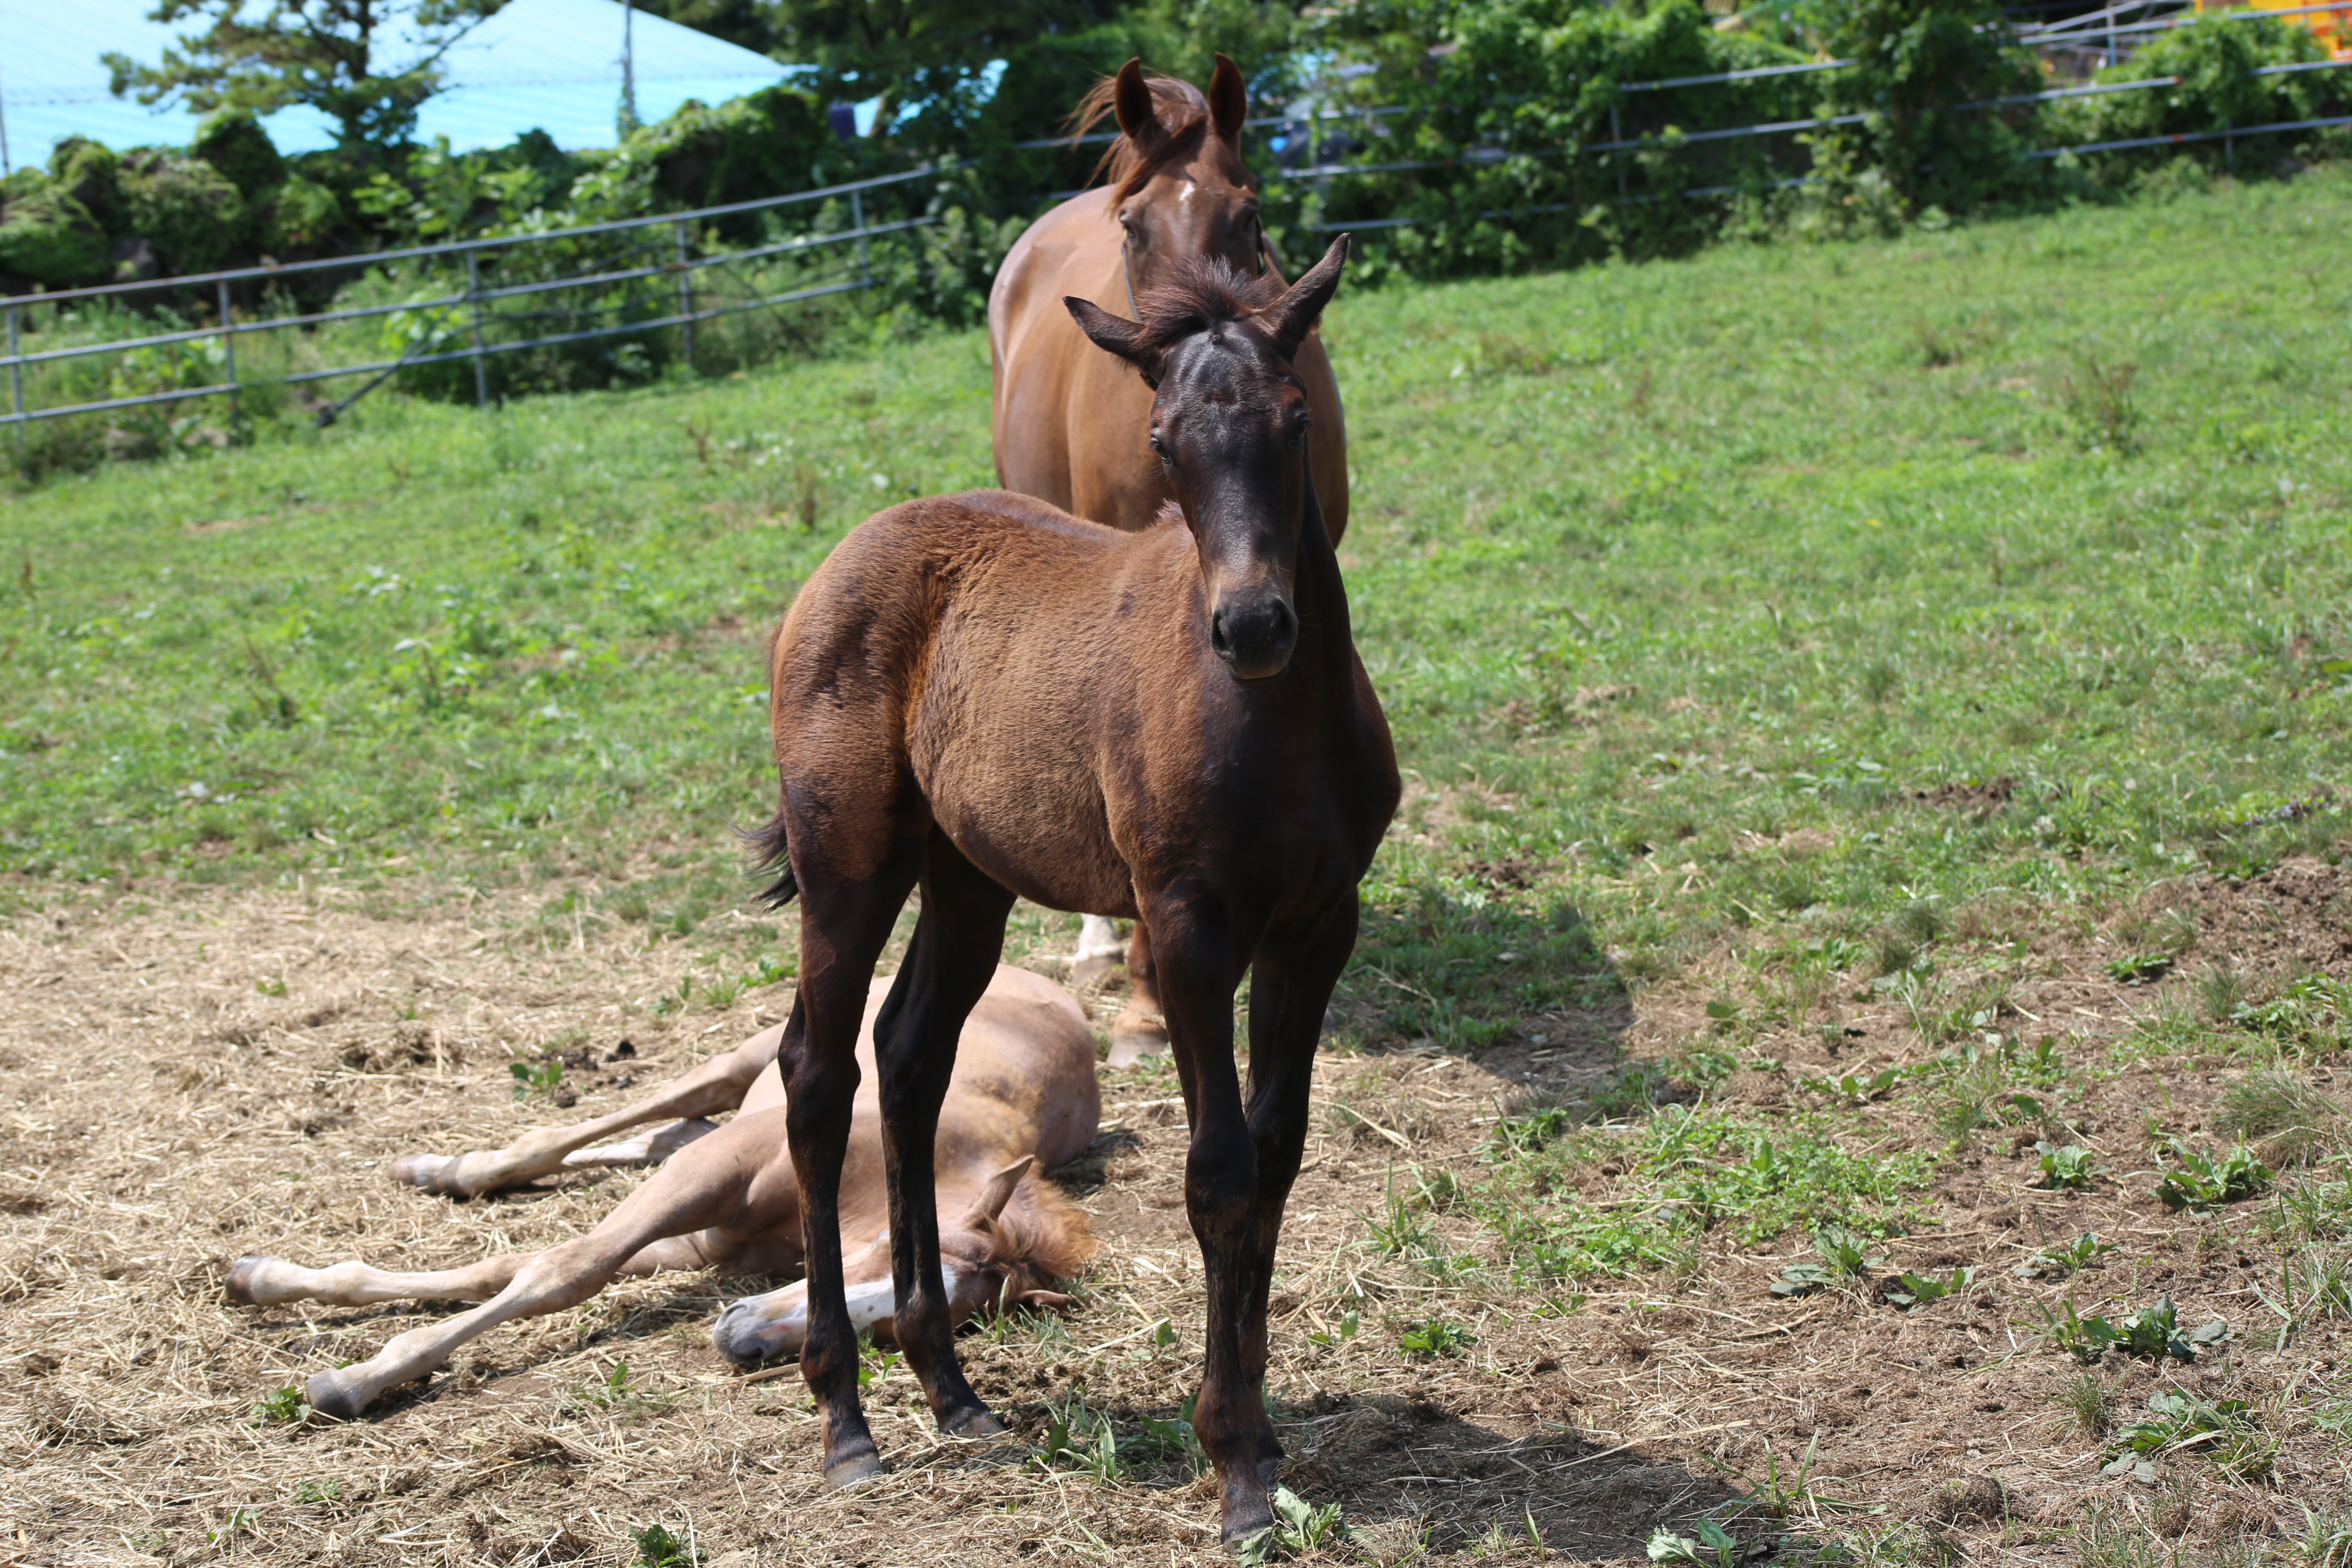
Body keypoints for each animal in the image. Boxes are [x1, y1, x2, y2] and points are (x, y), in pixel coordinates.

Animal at [227, 968, 1091, 1420]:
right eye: (885, 1258)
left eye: (897, 1337)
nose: (744, 1342)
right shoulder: (709, 1176)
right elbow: (561, 1270)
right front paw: (354, 1379)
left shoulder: (707, 1244)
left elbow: (507, 1271)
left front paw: (268, 1282)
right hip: (753, 1055)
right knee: (656, 1113)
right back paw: (456, 1170)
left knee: (658, 1135)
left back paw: (442, 1171)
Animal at [748, 240, 1392, 1542]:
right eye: (1162, 440)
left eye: (1296, 419)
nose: (1254, 625)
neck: (1277, 728)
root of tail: (843, 556)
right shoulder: (1188, 926)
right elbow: (1219, 1171)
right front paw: (1234, 1461)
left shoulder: (1316, 927)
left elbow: (1279, 1155)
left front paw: (1265, 1434)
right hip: (849, 869)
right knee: (816, 1074)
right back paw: (845, 1418)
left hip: (966, 877)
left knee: (909, 1053)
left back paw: (948, 1386)